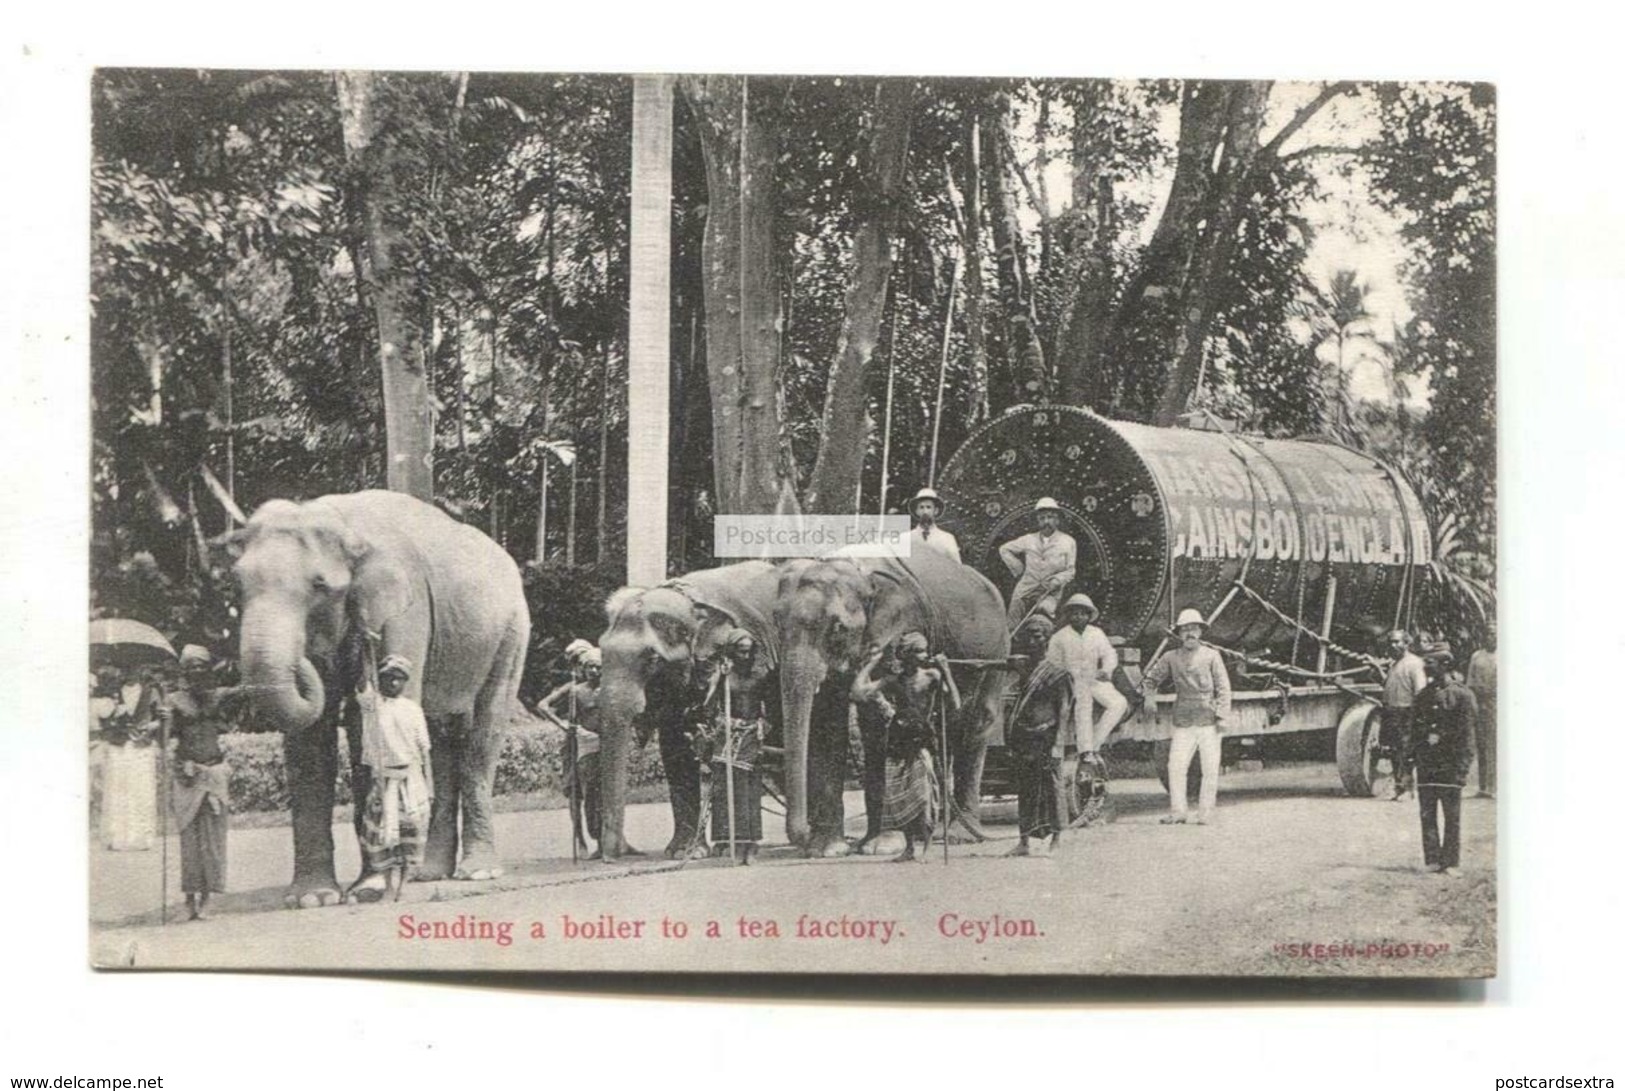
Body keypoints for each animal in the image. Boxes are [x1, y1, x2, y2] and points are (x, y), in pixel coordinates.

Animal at [230, 491, 526, 910]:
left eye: (319, 585)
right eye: (238, 582)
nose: (302, 660)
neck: (343, 524)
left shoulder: (406, 610)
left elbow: (363, 727)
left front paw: (367, 890)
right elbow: (309, 739)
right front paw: (312, 898)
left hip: (511, 635)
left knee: (481, 739)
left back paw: (476, 872)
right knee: (439, 740)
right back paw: (426, 874)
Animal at [594, 562, 783, 864]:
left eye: (653, 658)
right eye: (601, 651)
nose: (612, 858)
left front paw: (689, 852)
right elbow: (674, 747)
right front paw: (684, 852)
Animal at [770, 549, 1001, 858]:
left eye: (838, 629)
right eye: (777, 623)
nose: (804, 837)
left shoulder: (899, 626)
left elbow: (877, 718)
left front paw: (879, 846)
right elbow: (826, 720)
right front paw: (827, 849)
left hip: (995, 653)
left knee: (976, 724)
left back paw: (959, 835)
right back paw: (933, 829)